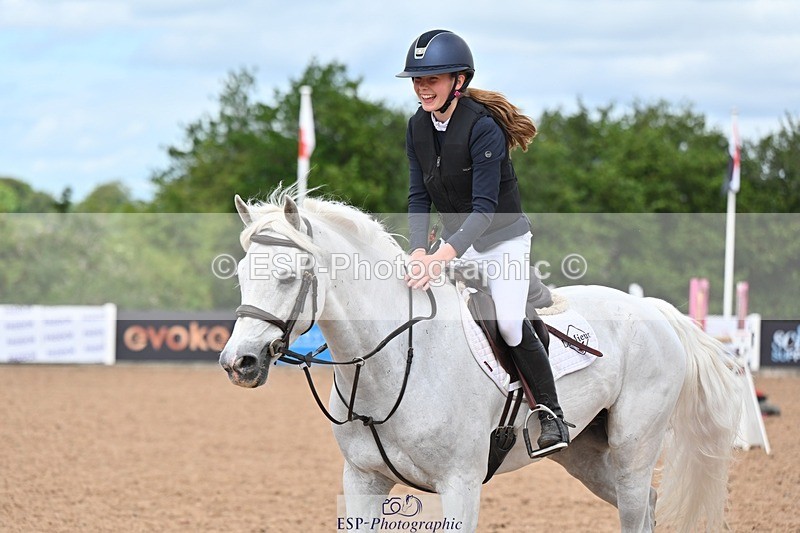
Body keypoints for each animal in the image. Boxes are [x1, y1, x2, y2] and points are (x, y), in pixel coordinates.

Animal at [219, 189, 742, 532]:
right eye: (242, 274)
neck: (394, 366)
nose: (237, 362)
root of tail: (654, 310)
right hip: (585, 456)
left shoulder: (461, 485)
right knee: (647, 502)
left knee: (637, 506)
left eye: (288, 276)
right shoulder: (363, 481)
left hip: (634, 447)